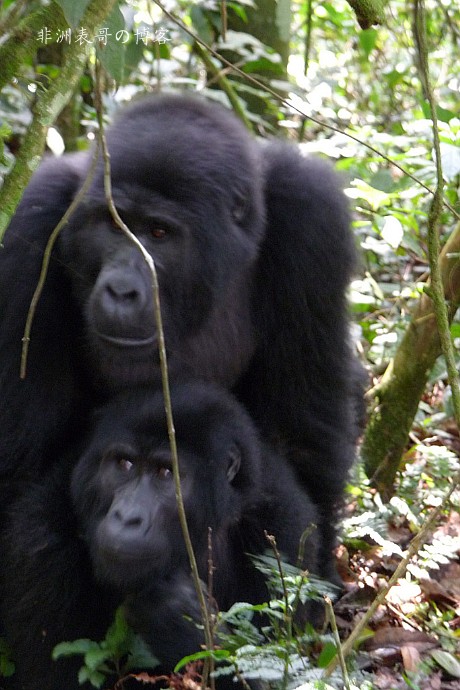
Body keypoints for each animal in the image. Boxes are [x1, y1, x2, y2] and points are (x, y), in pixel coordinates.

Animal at [0, 92, 362, 576]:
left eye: (159, 232)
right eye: (112, 224)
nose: (121, 290)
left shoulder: (313, 219)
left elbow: (303, 433)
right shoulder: (34, 222)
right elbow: (23, 451)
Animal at [0, 382, 318, 688]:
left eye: (166, 472)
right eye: (124, 464)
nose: (127, 517)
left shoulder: (283, 525)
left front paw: (181, 621)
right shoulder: (40, 542)